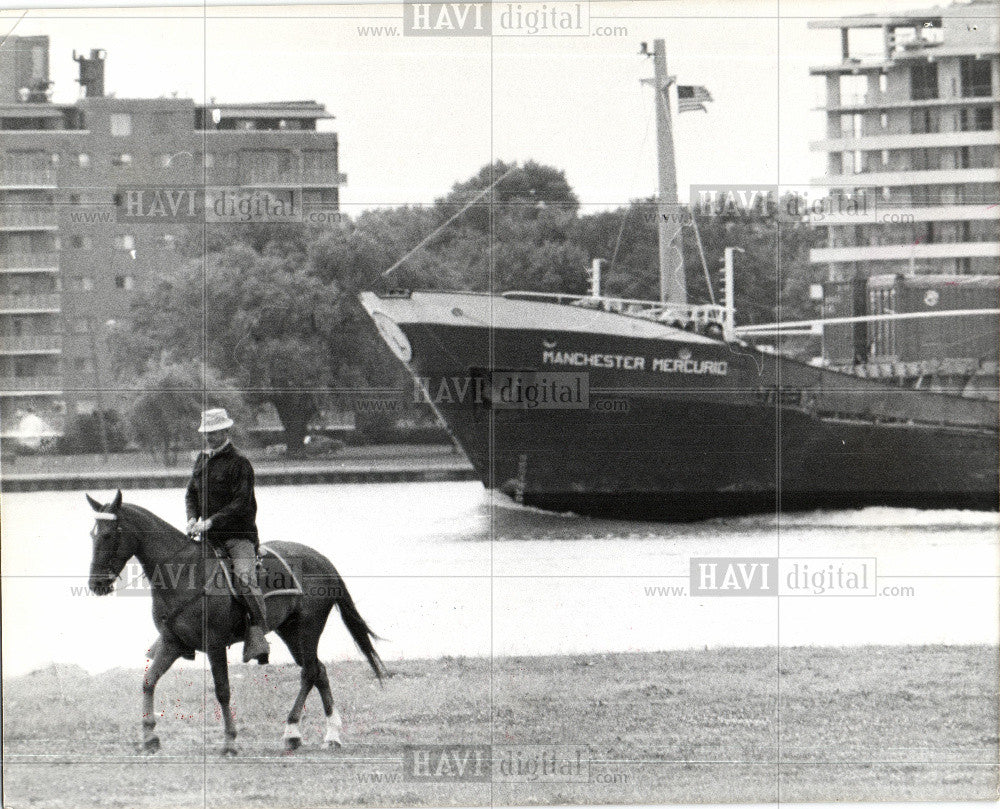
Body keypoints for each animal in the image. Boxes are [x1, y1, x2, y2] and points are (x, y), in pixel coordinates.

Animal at [86, 486, 386, 756]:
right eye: (92, 534)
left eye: (110, 534)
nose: (96, 584)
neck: (184, 573)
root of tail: (323, 561)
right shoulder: (172, 643)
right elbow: (148, 681)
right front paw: (150, 738)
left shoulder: (215, 644)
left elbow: (222, 690)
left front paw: (229, 741)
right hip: (290, 632)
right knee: (318, 671)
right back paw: (329, 735)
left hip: (308, 629)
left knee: (309, 672)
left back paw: (292, 730)